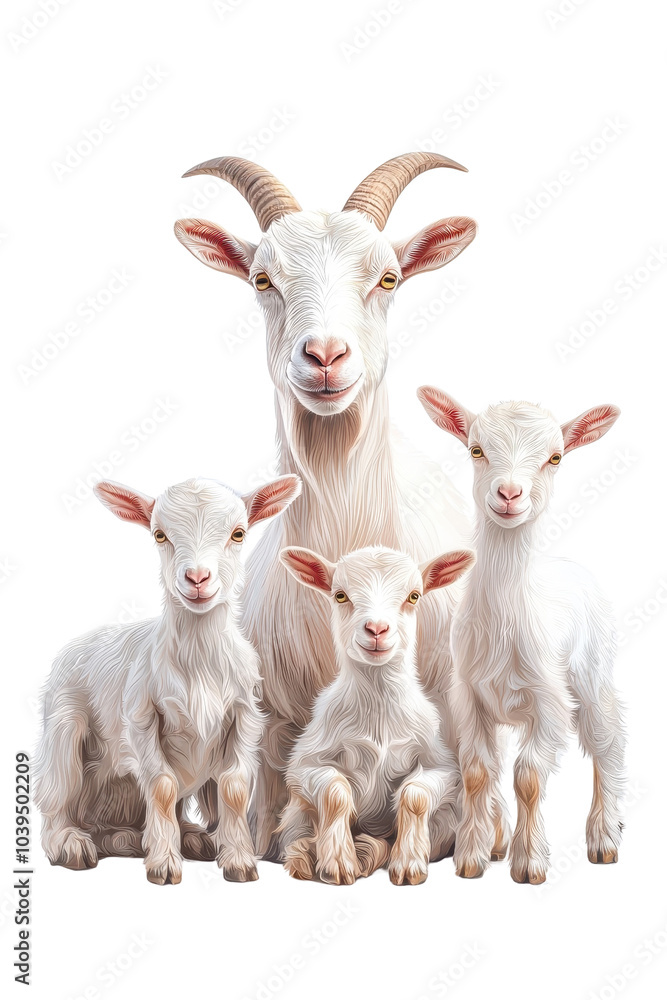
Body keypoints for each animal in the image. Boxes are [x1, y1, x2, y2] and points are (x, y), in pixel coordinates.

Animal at [34, 474, 301, 884]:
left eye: (238, 533)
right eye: (159, 535)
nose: (197, 578)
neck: (200, 662)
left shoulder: (245, 716)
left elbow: (234, 786)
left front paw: (239, 861)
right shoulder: (142, 716)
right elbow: (161, 786)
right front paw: (163, 865)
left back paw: (174, 838)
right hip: (63, 730)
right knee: (57, 796)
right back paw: (71, 842)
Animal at [278, 545, 474, 885]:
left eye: (414, 596)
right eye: (340, 595)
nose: (377, 630)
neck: (378, 713)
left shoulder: (443, 767)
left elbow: (415, 795)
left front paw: (408, 865)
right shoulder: (304, 764)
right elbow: (335, 792)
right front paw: (338, 863)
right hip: (296, 813)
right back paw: (305, 855)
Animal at [418, 386, 626, 884]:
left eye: (555, 457)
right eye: (476, 450)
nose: (509, 493)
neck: (505, 622)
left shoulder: (549, 702)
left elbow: (528, 776)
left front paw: (529, 862)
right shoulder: (469, 695)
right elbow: (477, 770)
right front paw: (472, 858)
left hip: (593, 676)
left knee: (609, 741)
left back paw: (605, 839)